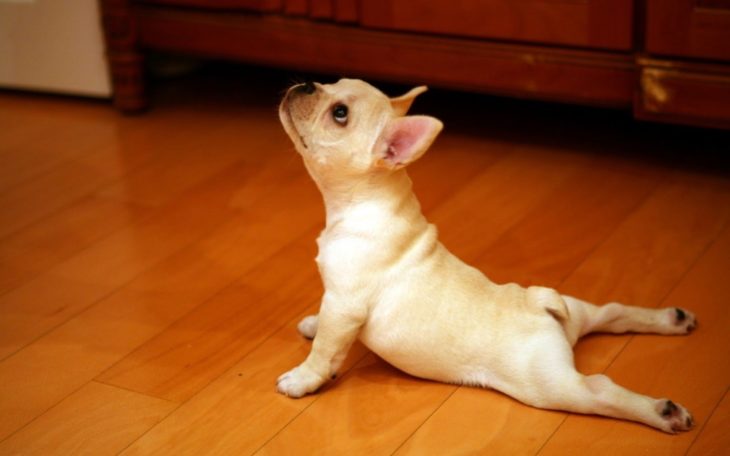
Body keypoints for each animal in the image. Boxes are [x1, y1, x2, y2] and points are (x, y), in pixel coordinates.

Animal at [278, 79, 692, 434]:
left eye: (340, 114)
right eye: (331, 84)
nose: (306, 84)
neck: (365, 200)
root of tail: (540, 308)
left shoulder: (345, 304)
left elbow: (325, 350)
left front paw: (301, 378)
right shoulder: (336, 299)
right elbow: (325, 324)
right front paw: (313, 323)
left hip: (551, 385)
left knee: (600, 391)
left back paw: (661, 412)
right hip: (577, 310)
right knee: (612, 312)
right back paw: (672, 320)